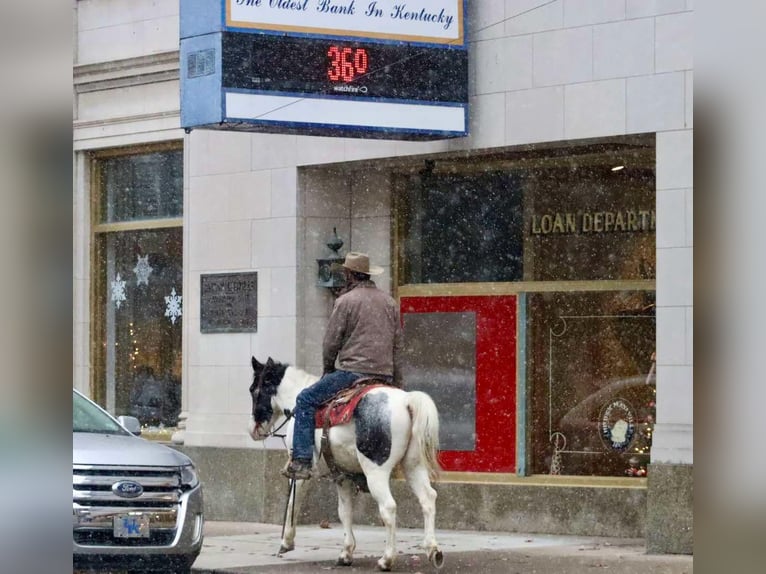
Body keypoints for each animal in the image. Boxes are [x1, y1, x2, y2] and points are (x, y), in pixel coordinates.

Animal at [249, 358, 448, 572]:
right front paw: (346, 553)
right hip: (414, 466)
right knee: (428, 498)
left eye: (254, 390)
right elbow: (344, 512)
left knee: (388, 507)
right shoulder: (342, 476)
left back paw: (387, 559)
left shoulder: (301, 474)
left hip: (375, 472)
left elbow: (293, 503)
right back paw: (433, 550)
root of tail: (406, 401)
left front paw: (286, 542)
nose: (253, 430)